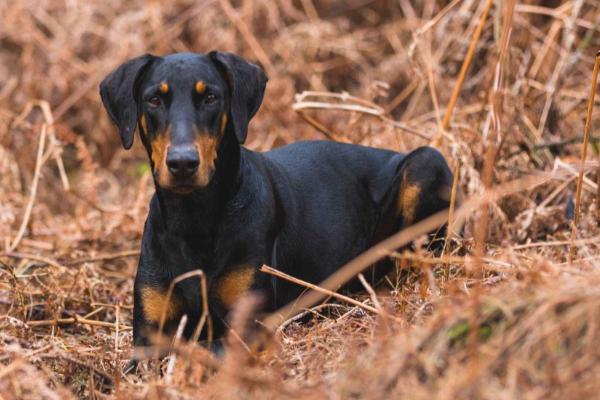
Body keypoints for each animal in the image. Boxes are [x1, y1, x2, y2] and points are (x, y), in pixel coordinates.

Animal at [99, 50, 454, 362]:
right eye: (154, 100)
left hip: (425, 163)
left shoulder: (247, 323)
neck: (194, 217)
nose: (183, 163)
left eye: (211, 97)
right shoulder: (148, 335)